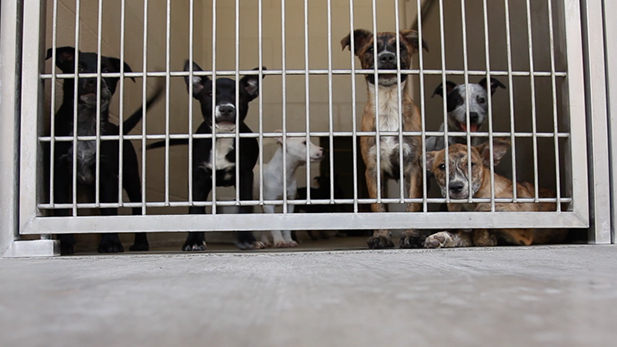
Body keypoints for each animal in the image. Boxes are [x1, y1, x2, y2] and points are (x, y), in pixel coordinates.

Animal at [47, 45, 162, 256]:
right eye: (79, 67)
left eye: (107, 71)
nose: (94, 80)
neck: (87, 124)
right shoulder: (58, 174)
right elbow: (61, 210)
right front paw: (65, 244)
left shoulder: (107, 176)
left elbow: (109, 210)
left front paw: (110, 243)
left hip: (131, 177)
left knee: (136, 207)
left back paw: (141, 242)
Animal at [150, 61, 268, 251]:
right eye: (210, 94)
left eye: (239, 95)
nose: (226, 108)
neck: (222, 138)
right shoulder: (198, 177)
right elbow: (195, 210)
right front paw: (193, 241)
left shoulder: (244, 175)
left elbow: (244, 207)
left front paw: (247, 240)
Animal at [342, 28, 428, 249]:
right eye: (371, 49)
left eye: (401, 47)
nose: (387, 57)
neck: (388, 105)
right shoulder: (373, 171)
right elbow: (377, 206)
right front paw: (380, 236)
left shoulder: (414, 169)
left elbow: (413, 205)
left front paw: (411, 235)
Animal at [424, 137, 568, 249]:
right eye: (442, 166)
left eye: (470, 164)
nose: (455, 186)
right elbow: (465, 234)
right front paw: (442, 237)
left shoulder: (522, 233)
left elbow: (480, 228)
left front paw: (486, 238)